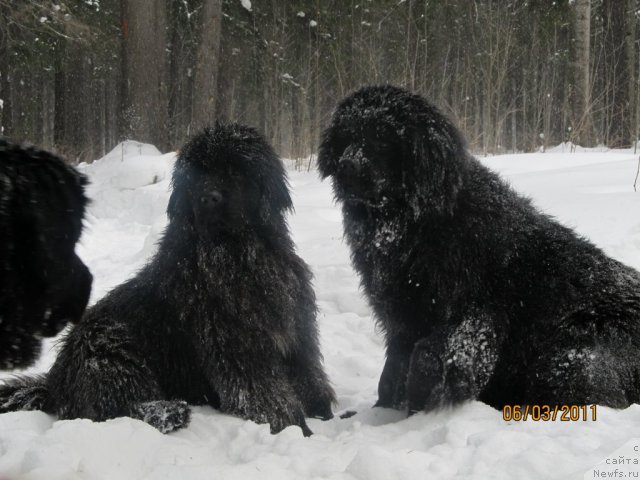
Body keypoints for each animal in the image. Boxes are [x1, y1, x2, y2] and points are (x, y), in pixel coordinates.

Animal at [320, 84, 640, 414]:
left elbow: (429, 356)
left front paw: (423, 402)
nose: (346, 167)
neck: (417, 224)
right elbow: (393, 369)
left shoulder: (475, 312)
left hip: (574, 354)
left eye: (382, 138)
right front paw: (386, 409)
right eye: (347, 137)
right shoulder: (401, 316)